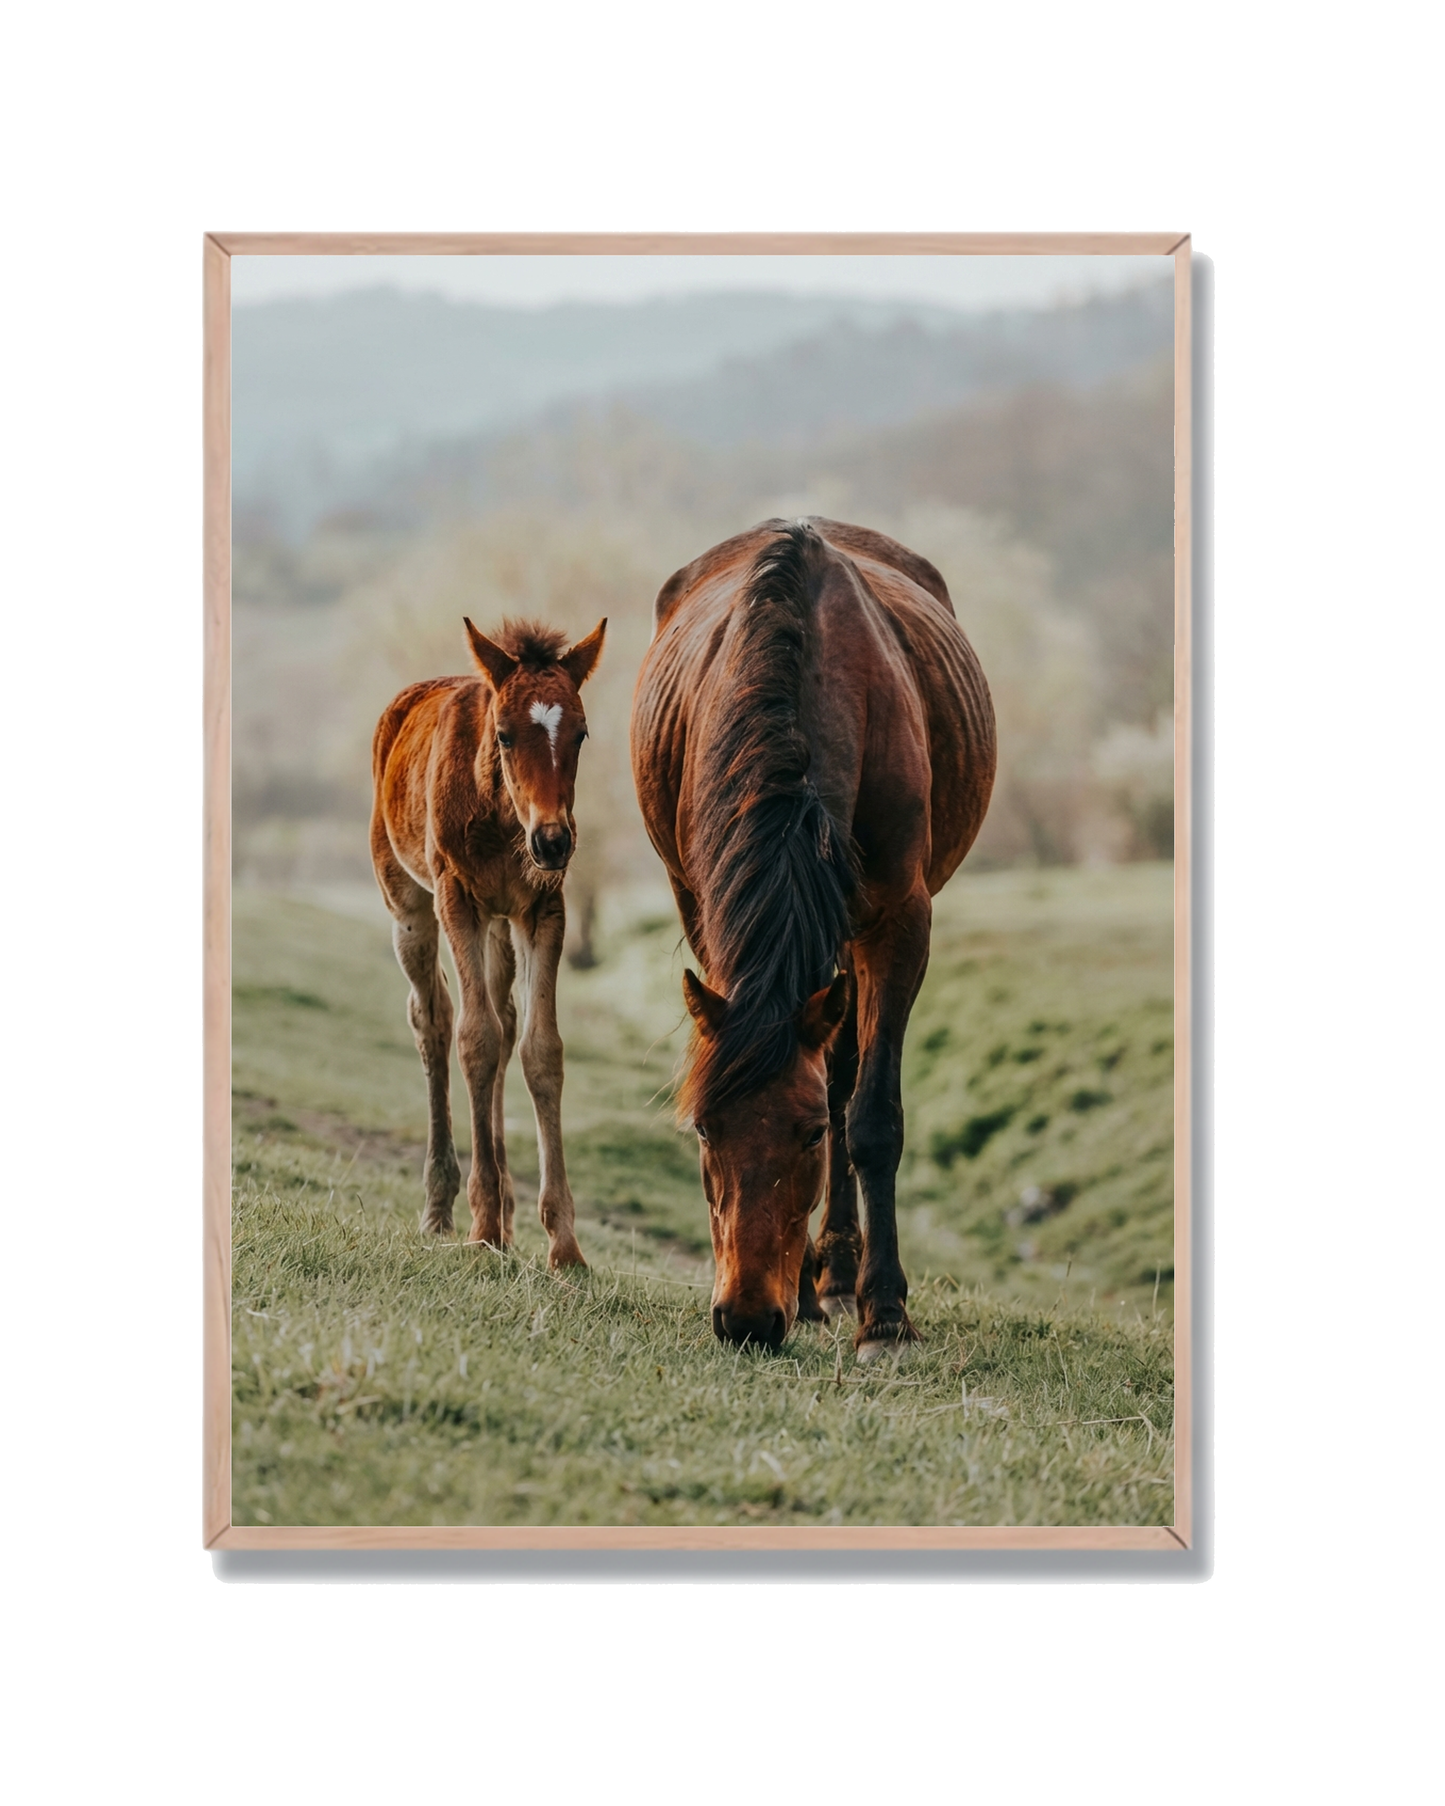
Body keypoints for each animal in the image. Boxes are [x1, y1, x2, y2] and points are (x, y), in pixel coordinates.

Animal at [370, 615, 606, 1267]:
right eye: (503, 735)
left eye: (581, 735)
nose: (553, 841)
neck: (505, 820)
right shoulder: (458, 899)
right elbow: (475, 1039)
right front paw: (480, 1227)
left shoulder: (542, 909)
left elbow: (539, 1050)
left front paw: (564, 1244)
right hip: (410, 906)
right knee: (434, 1019)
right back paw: (442, 1206)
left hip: (501, 927)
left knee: (504, 1021)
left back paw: (504, 1211)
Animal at [630, 520, 995, 1357]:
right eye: (704, 1129)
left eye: (804, 1138)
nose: (745, 1320)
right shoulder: (704, 907)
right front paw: (804, 1290)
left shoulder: (899, 918)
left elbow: (868, 1116)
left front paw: (884, 1314)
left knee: (846, 1070)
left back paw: (840, 1276)